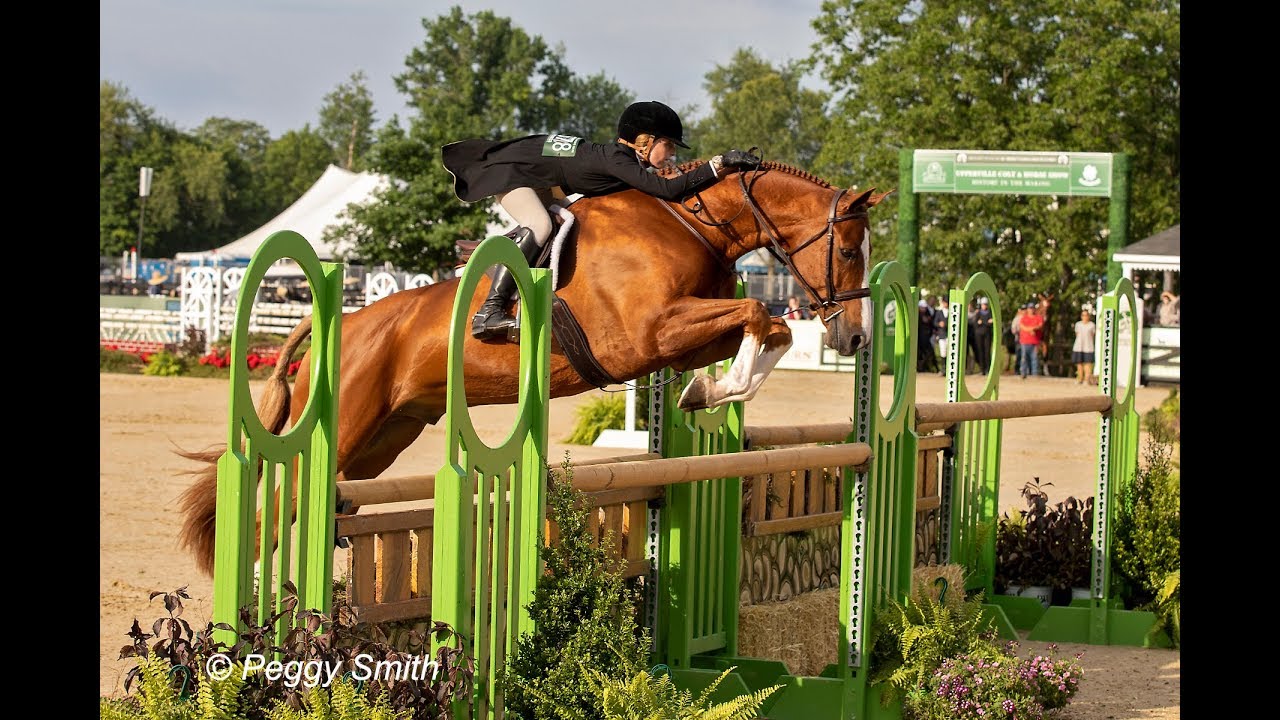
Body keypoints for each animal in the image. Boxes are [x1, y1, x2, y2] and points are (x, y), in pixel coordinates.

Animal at [177, 160, 889, 576]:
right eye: (847, 248)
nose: (854, 336)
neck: (689, 220)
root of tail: (342, 322)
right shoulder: (648, 335)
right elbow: (759, 312)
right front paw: (718, 388)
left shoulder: (678, 339)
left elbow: (767, 326)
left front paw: (706, 391)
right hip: (342, 425)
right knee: (274, 511)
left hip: (383, 439)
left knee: (319, 500)